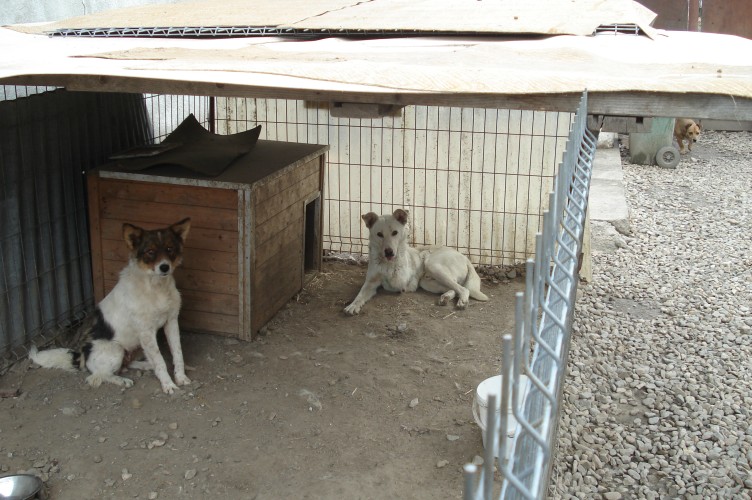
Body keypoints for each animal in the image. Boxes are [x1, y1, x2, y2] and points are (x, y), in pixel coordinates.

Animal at [30, 218, 192, 394]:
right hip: (116, 348)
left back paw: (147, 366)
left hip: (135, 347)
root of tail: (81, 354)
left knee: (128, 364)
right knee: (98, 376)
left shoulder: (171, 322)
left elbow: (178, 353)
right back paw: (123, 380)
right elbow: (160, 361)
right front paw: (168, 384)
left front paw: (181, 377)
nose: (164, 267)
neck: (156, 287)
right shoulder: (146, 332)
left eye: (170, 249)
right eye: (150, 251)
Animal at [343, 209, 488, 315]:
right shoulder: (370, 282)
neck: (387, 263)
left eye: (395, 232)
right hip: (427, 282)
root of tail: (465, 258)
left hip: (432, 265)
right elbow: (360, 294)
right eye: (379, 234)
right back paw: (445, 297)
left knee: (463, 289)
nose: (389, 252)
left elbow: (392, 283)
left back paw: (462, 301)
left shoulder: (400, 281)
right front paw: (353, 305)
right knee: (454, 288)